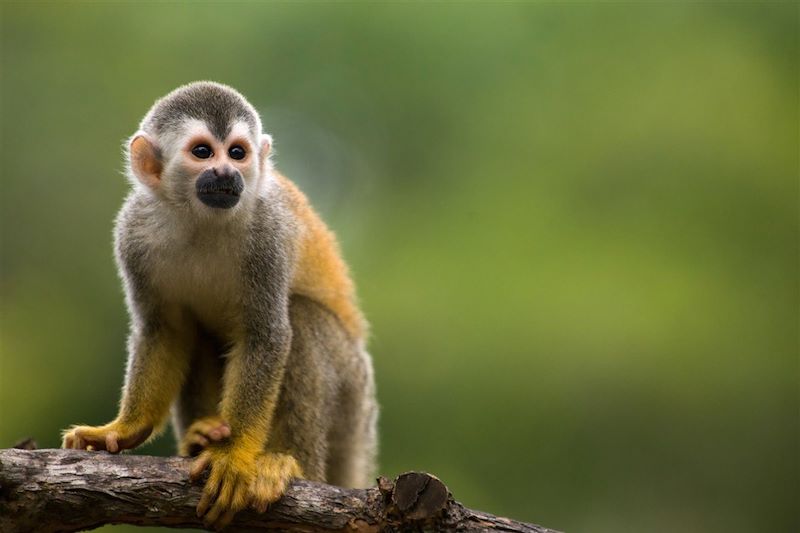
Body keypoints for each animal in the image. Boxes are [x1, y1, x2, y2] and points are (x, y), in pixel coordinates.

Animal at [61, 82, 380, 528]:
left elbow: (266, 335)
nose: (228, 174)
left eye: (237, 152)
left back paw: (289, 464)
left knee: (301, 318)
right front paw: (125, 429)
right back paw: (201, 436)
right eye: (202, 152)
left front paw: (233, 455)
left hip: (353, 398)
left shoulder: (268, 233)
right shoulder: (132, 233)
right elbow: (164, 330)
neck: (201, 219)